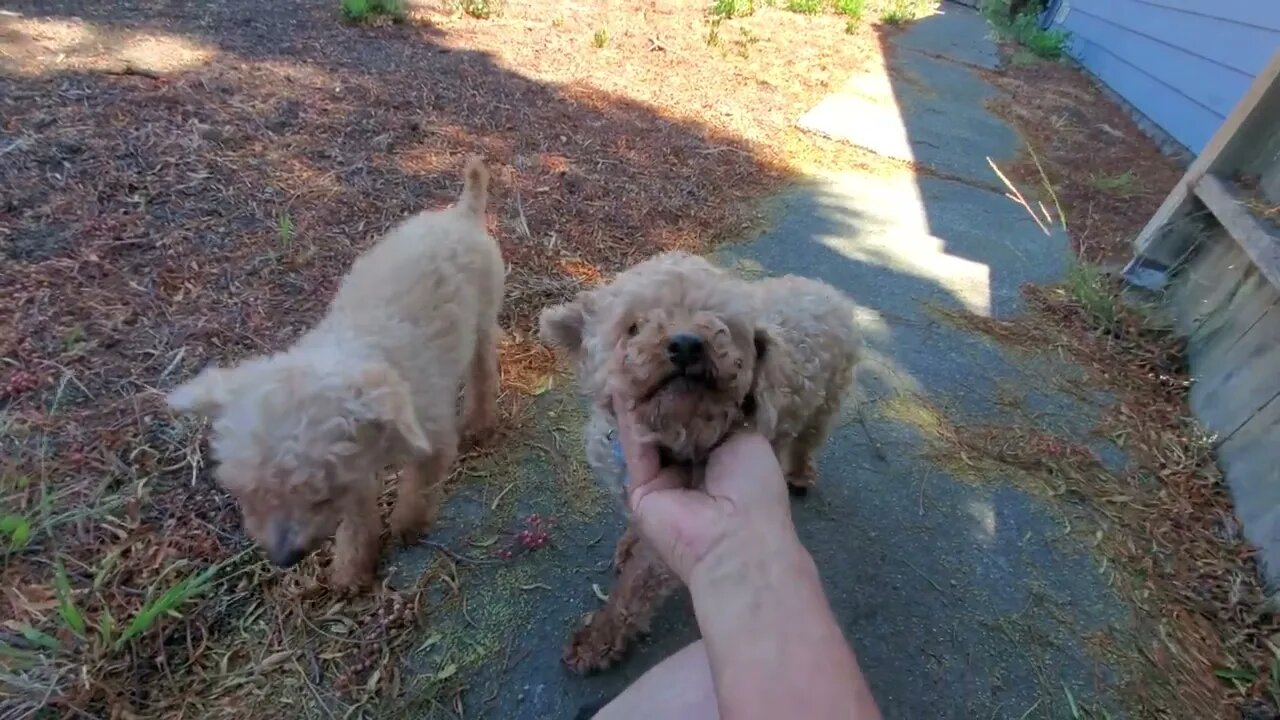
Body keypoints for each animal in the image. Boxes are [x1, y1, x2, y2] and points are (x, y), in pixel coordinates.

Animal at [168, 156, 504, 589]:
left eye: (318, 496)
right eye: (249, 495)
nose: (284, 558)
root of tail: (461, 213)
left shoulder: (430, 439)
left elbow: (417, 488)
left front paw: (407, 525)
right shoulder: (354, 471)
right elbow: (357, 521)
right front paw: (351, 568)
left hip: (482, 318)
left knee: (482, 371)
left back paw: (479, 422)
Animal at [540, 251, 860, 666]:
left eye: (724, 327)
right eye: (633, 326)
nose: (687, 344)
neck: (671, 434)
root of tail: (828, 291)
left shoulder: (666, 549)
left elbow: (635, 586)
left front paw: (598, 638)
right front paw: (628, 542)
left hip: (827, 402)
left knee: (808, 440)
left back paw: (801, 474)